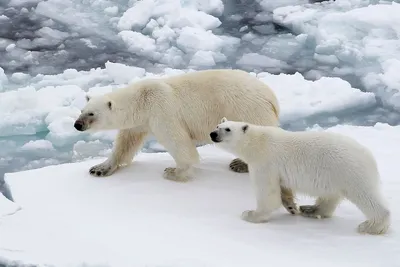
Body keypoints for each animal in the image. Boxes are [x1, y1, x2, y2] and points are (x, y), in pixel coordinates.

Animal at [73, 69, 298, 216]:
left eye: (92, 114)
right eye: (82, 110)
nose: (77, 125)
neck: (141, 100)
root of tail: (271, 97)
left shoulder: (161, 110)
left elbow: (177, 142)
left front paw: (174, 172)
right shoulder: (139, 122)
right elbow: (125, 143)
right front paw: (99, 168)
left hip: (247, 109)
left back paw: (240, 164)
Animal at [211, 118, 392, 236]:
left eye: (227, 129)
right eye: (218, 125)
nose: (213, 134)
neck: (257, 142)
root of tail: (369, 156)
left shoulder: (265, 163)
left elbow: (267, 194)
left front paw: (251, 214)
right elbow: (282, 188)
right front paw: (291, 207)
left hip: (349, 171)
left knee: (366, 196)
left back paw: (370, 226)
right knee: (330, 197)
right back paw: (311, 209)